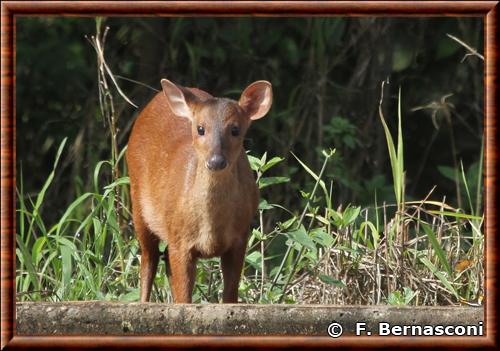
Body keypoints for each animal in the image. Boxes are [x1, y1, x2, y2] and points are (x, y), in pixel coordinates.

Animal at [126, 78, 274, 304]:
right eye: (201, 128)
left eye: (235, 129)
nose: (216, 161)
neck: (211, 229)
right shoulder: (180, 241)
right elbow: (184, 297)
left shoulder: (240, 238)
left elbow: (230, 295)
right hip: (138, 203)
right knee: (148, 260)